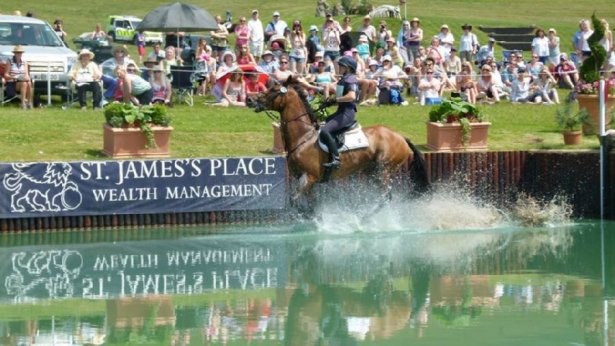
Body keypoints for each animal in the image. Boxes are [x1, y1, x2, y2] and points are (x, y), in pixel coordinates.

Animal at [253, 76, 430, 214]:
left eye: (274, 90)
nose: (251, 99)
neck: (303, 137)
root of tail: (401, 137)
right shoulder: (307, 183)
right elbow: (311, 206)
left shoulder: (308, 178)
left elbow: (294, 200)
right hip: (373, 171)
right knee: (384, 197)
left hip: (384, 170)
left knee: (385, 197)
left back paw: (363, 219)